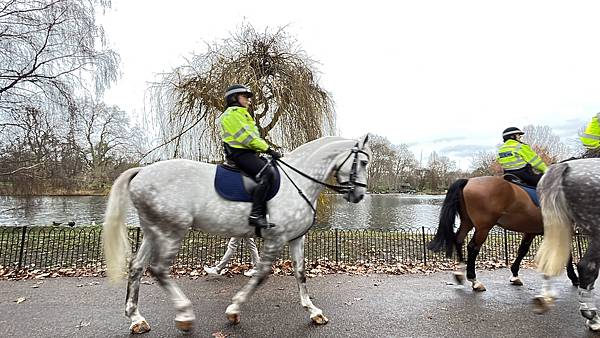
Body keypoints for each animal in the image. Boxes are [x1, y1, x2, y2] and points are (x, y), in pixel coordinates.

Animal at [103, 136, 370, 334]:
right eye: (364, 163)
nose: (359, 195)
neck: (298, 181)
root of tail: (142, 172)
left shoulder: (296, 239)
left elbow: (300, 274)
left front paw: (314, 311)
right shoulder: (276, 239)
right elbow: (261, 275)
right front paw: (234, 309)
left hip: (153, 231)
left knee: (137, 267)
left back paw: (136, 318)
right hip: (172, 231)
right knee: (158, 269)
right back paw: (184, 313)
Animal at [426, 177, 576, 290]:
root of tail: (469, 180)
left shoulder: (530, 231)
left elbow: (522, 250)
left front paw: (515, 274)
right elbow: (568, 255)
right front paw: (574, 277)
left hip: (467, 222)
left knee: (458, 239)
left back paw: (461, 271)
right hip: (483, 227)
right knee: (472, 247)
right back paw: (474, 280)